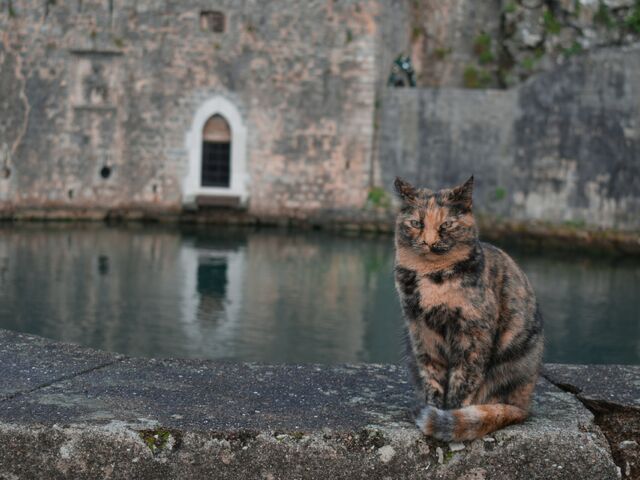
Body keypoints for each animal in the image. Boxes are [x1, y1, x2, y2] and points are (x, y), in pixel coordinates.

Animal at [392, 176, 544, 442]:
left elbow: (463, 381)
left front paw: (450, 416)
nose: (428, 242)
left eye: (447, 224)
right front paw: (433, 408)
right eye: (416, 223)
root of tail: (524, 406)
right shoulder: (421, 332)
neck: (431, 276)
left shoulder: (472, 333)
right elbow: (432, 376)